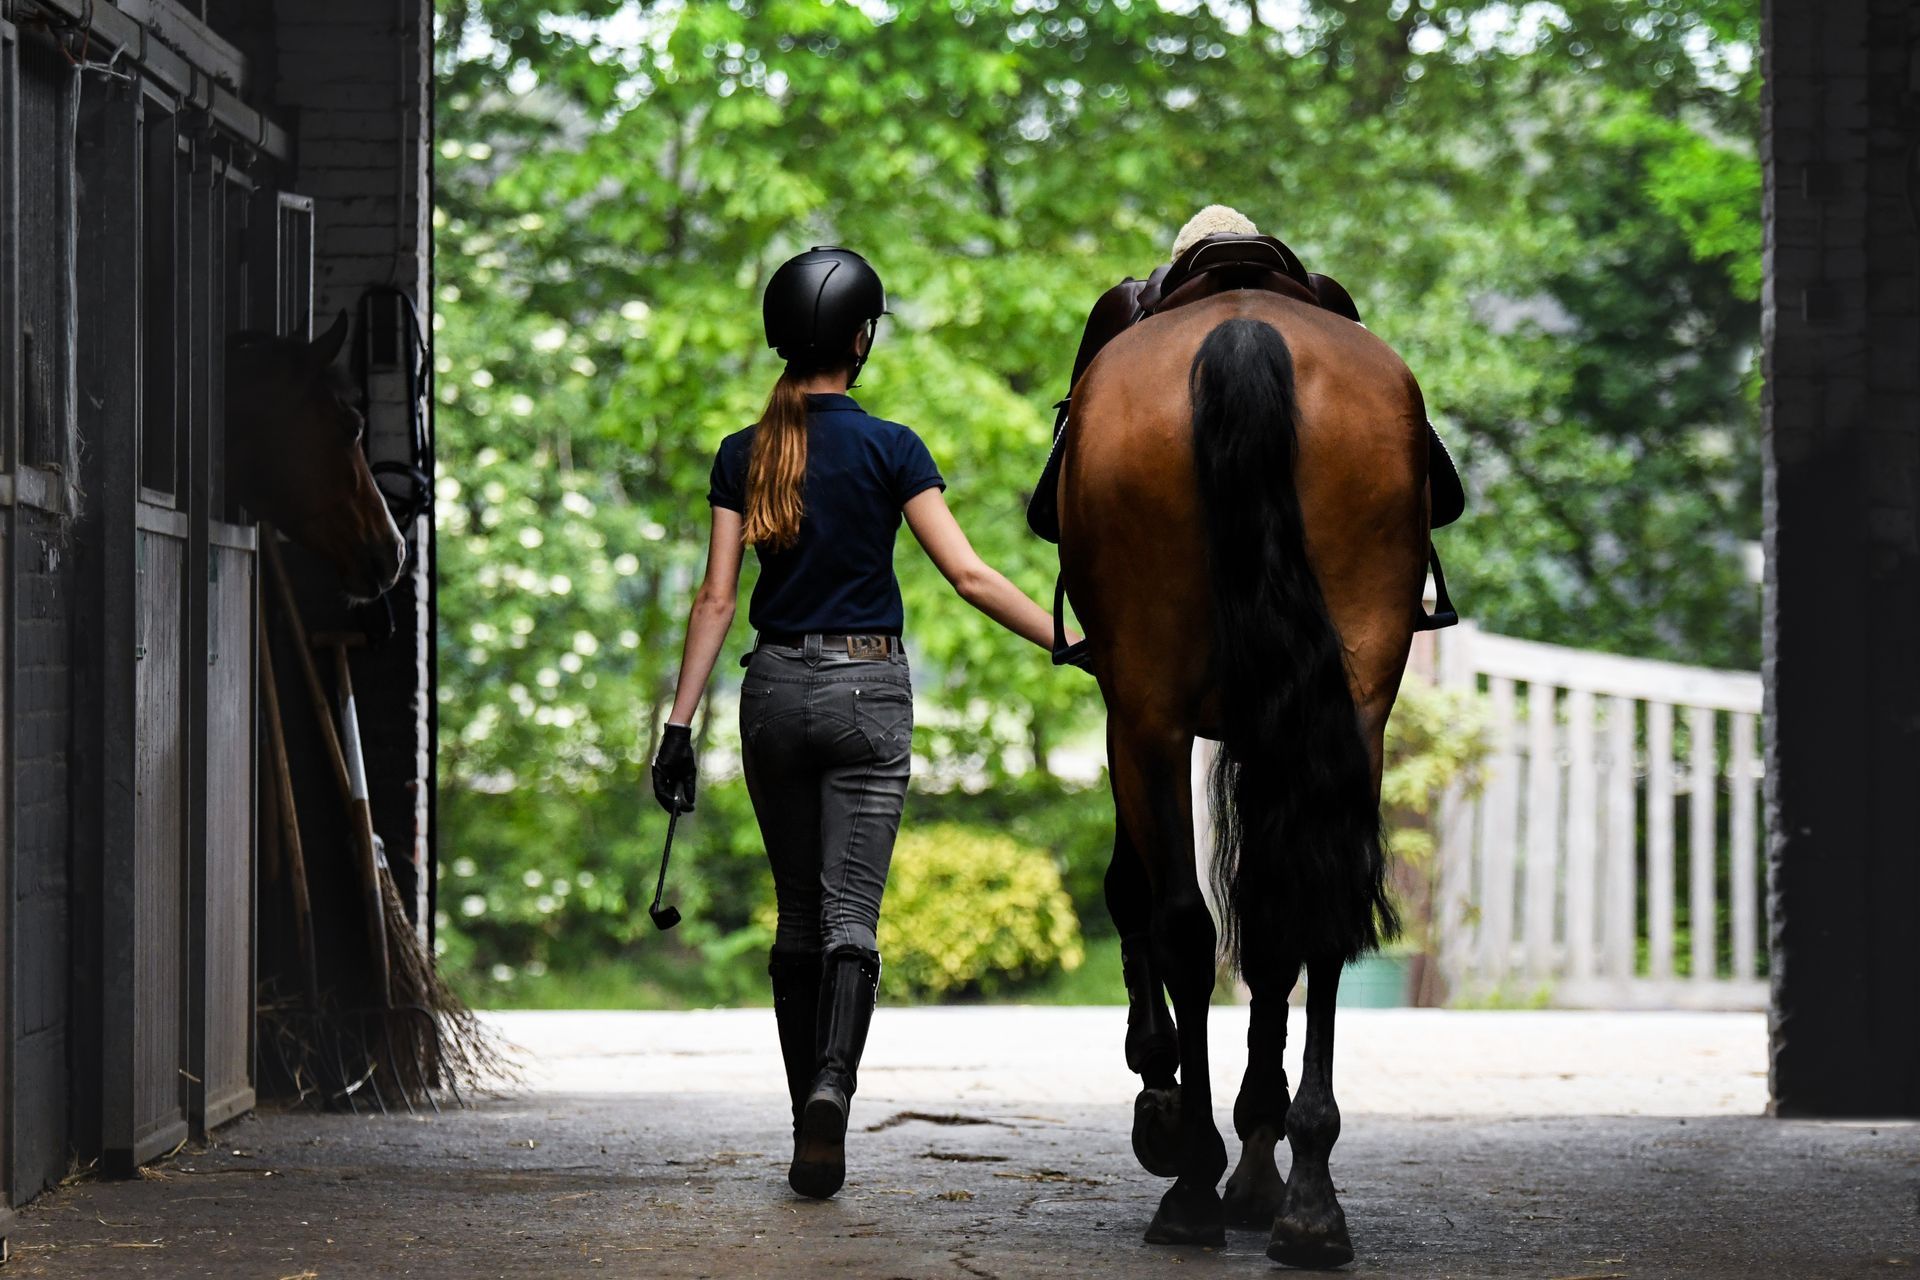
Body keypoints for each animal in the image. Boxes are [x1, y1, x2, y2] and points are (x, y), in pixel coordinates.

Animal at [1059, 287, 1436, 1258]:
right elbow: (1272, 933)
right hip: (1356, 705)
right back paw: (1309, 1197)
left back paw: (1193, 1180)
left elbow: (1137, 894)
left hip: (1148, 712)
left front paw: (1163, 1097)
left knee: (1186, 926)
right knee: (1317, 914)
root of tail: (1241, 330)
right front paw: (1263, 1150)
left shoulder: (1130, 717)